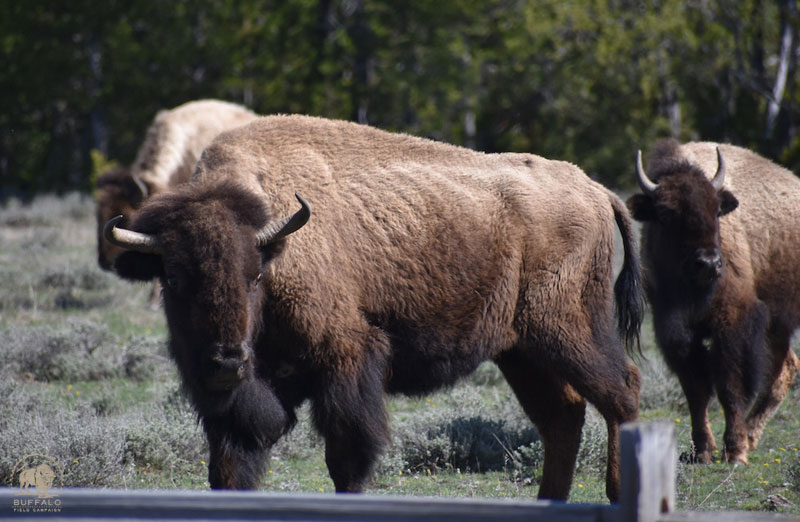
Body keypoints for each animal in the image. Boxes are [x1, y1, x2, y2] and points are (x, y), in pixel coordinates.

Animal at [105, 115, 643, 501]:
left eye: (254, 276)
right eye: (173, 280)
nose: (227, 362)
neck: (279, 243)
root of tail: (595, 189)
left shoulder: (346, 363)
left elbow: (346, 458)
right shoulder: (241, 405)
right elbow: (230, 468)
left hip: (568, 330)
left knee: (621, 390)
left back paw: (619, 492)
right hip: (520, 352)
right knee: (563, 416)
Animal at [627, 140, 800, 464]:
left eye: (717, 211)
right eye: (666, 215)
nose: (708, 263)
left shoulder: (734, 323)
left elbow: (730, 385)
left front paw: (735, 451)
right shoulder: (674, 332)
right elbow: (696, 389)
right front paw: (704, 450)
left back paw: (748, 437)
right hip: (777, 328)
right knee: (785, 369)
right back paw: (752, 436)